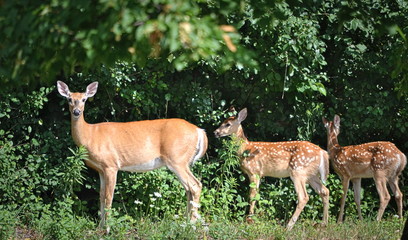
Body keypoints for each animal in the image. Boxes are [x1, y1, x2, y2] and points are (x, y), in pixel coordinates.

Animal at [57, 81, 207, 232]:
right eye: (69, 99)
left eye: (84, 99)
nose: (77, 112)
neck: (90, 135)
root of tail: (199, 131)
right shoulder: (100, 169)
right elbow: (101, 195)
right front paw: (99, 227)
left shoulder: (111, 165)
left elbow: (109, 197)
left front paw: (108, 229)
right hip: (181, 161)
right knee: (189, 189)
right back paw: (185, 223)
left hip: (177, 159)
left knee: (195, 185)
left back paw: (191, 226)